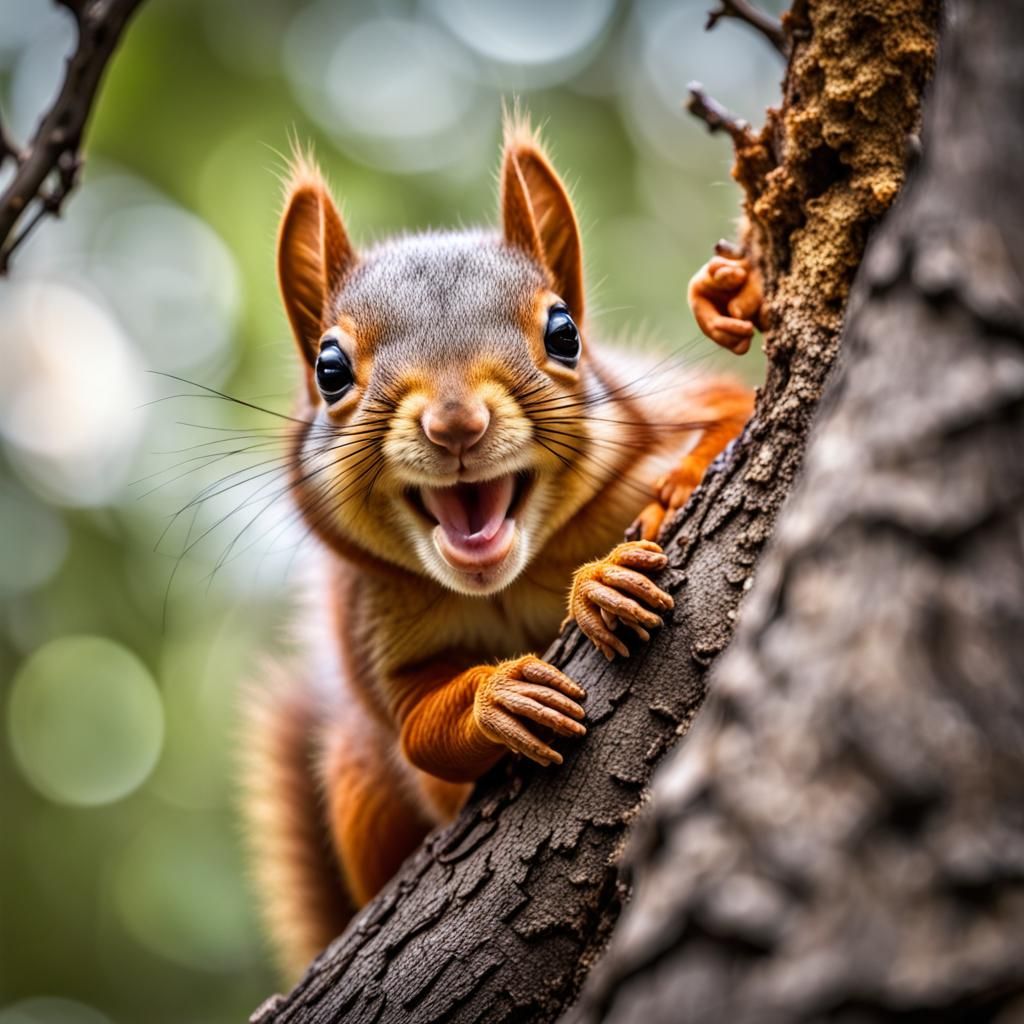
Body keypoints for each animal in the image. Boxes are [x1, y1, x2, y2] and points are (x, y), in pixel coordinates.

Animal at [241, 112, 763, 979]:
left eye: (565, 333)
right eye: (329, 366)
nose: (455, 423)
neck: (506, 583)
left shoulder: (669, 409)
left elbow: (732, 408)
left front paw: (611, 570)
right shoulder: (377, 638)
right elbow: (421, 731)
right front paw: (495, 698)